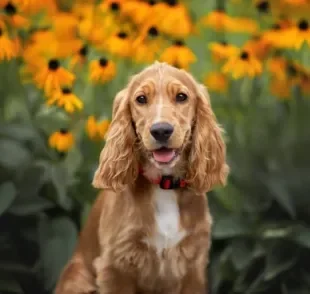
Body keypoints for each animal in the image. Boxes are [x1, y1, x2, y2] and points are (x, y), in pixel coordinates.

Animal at [54, 62, 229, 294]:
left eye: (182, 97)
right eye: (141, 99)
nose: (161, 130)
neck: (164, 186)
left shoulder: (194, 266)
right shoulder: (116, 266)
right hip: (77, 279)